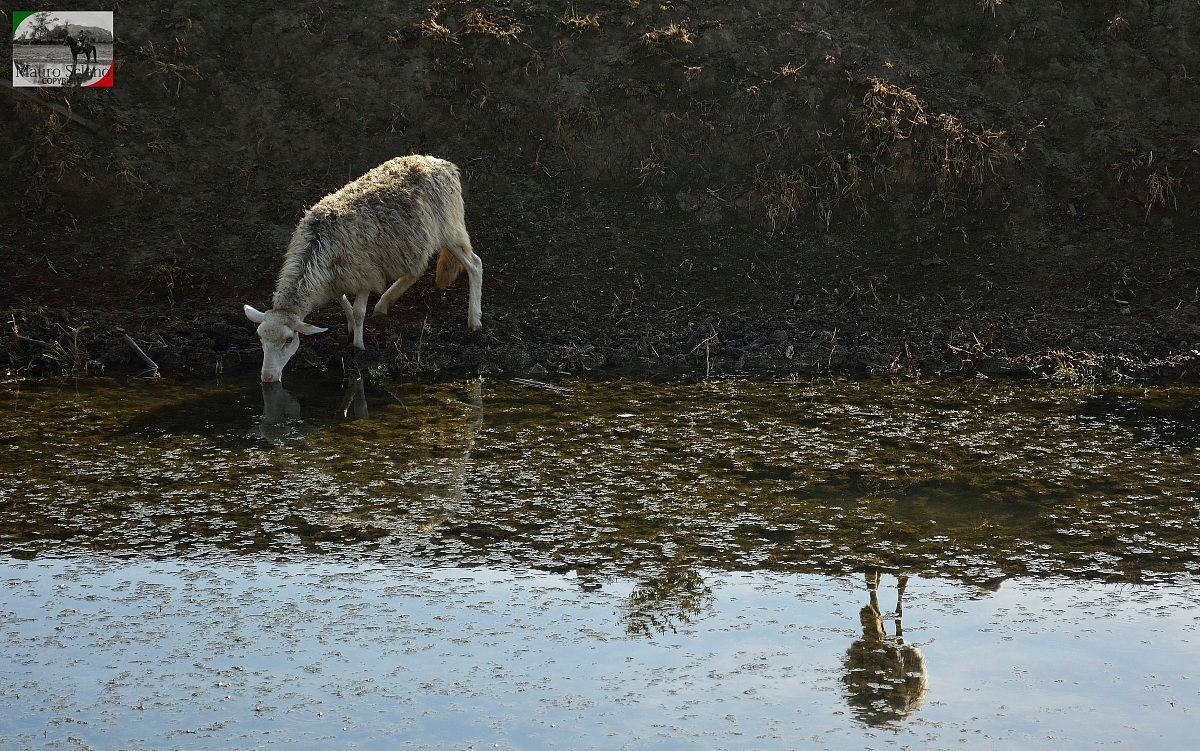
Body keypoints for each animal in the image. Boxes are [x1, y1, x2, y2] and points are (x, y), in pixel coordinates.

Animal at [243, 155, 482, 382]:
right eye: (260, 337)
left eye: (289, 340)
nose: (267, 377)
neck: (313, 253)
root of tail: (442, 164)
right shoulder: (339, 275)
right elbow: (342, 299)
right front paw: (349, 324)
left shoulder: (365, 272)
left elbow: (359, 312)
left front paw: (358, 345)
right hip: (412, 243)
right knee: (416, 270)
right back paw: (384, 303)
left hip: (450, 229)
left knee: (475, 265)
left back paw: (474, 320)